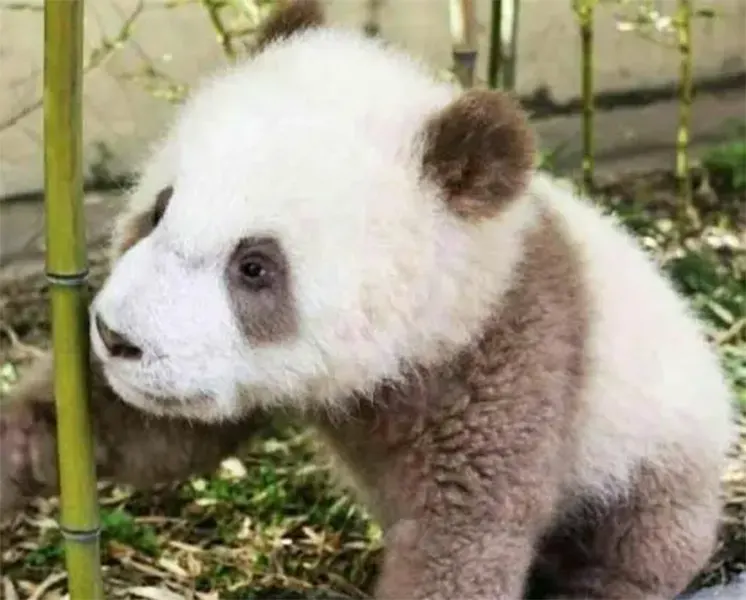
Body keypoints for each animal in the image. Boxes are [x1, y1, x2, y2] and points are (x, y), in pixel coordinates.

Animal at [0, 1, 736, 598]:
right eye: (159, 209)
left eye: (255, 267)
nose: (115, 336)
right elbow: (153, 433)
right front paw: (23, 447)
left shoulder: (514, 355)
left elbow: (463, 533)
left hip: (657, 453)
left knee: (638, 544)